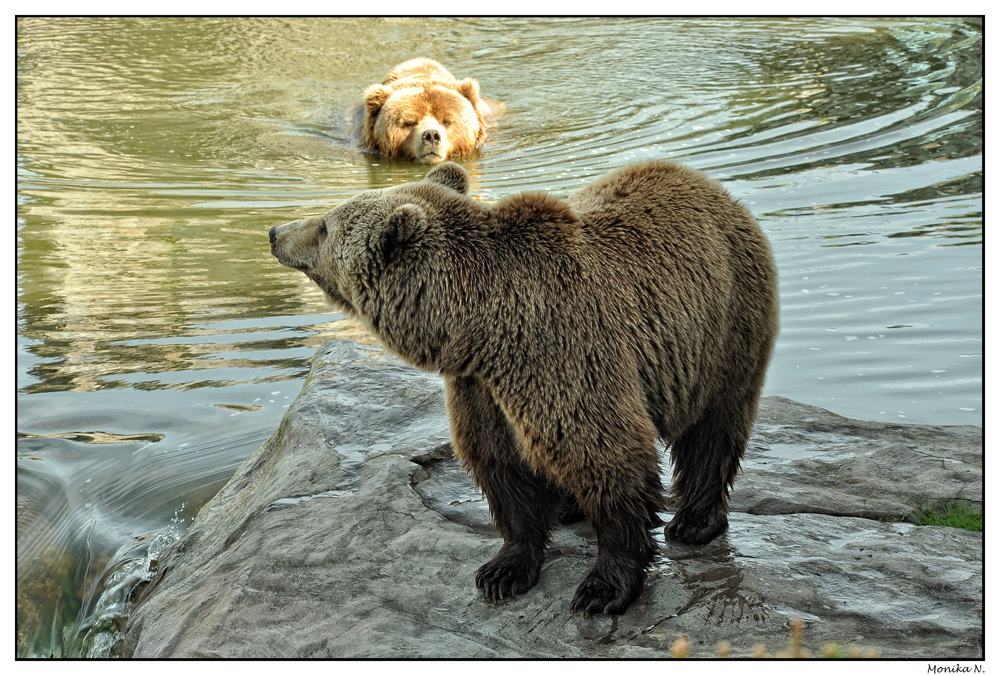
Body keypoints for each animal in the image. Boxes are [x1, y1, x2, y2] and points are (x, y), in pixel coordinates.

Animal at [268, 161, 780, 616]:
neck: (478, 331)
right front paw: (503, 570)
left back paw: (694, 521)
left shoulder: (560, 350)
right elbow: (499, 465)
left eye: (324, 226)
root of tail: (707, 185)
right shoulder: (479, 388)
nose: (275, 231)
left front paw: (603, 588)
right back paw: (571, 508)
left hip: (726, 324)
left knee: (713, 429)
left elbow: (607, 454)